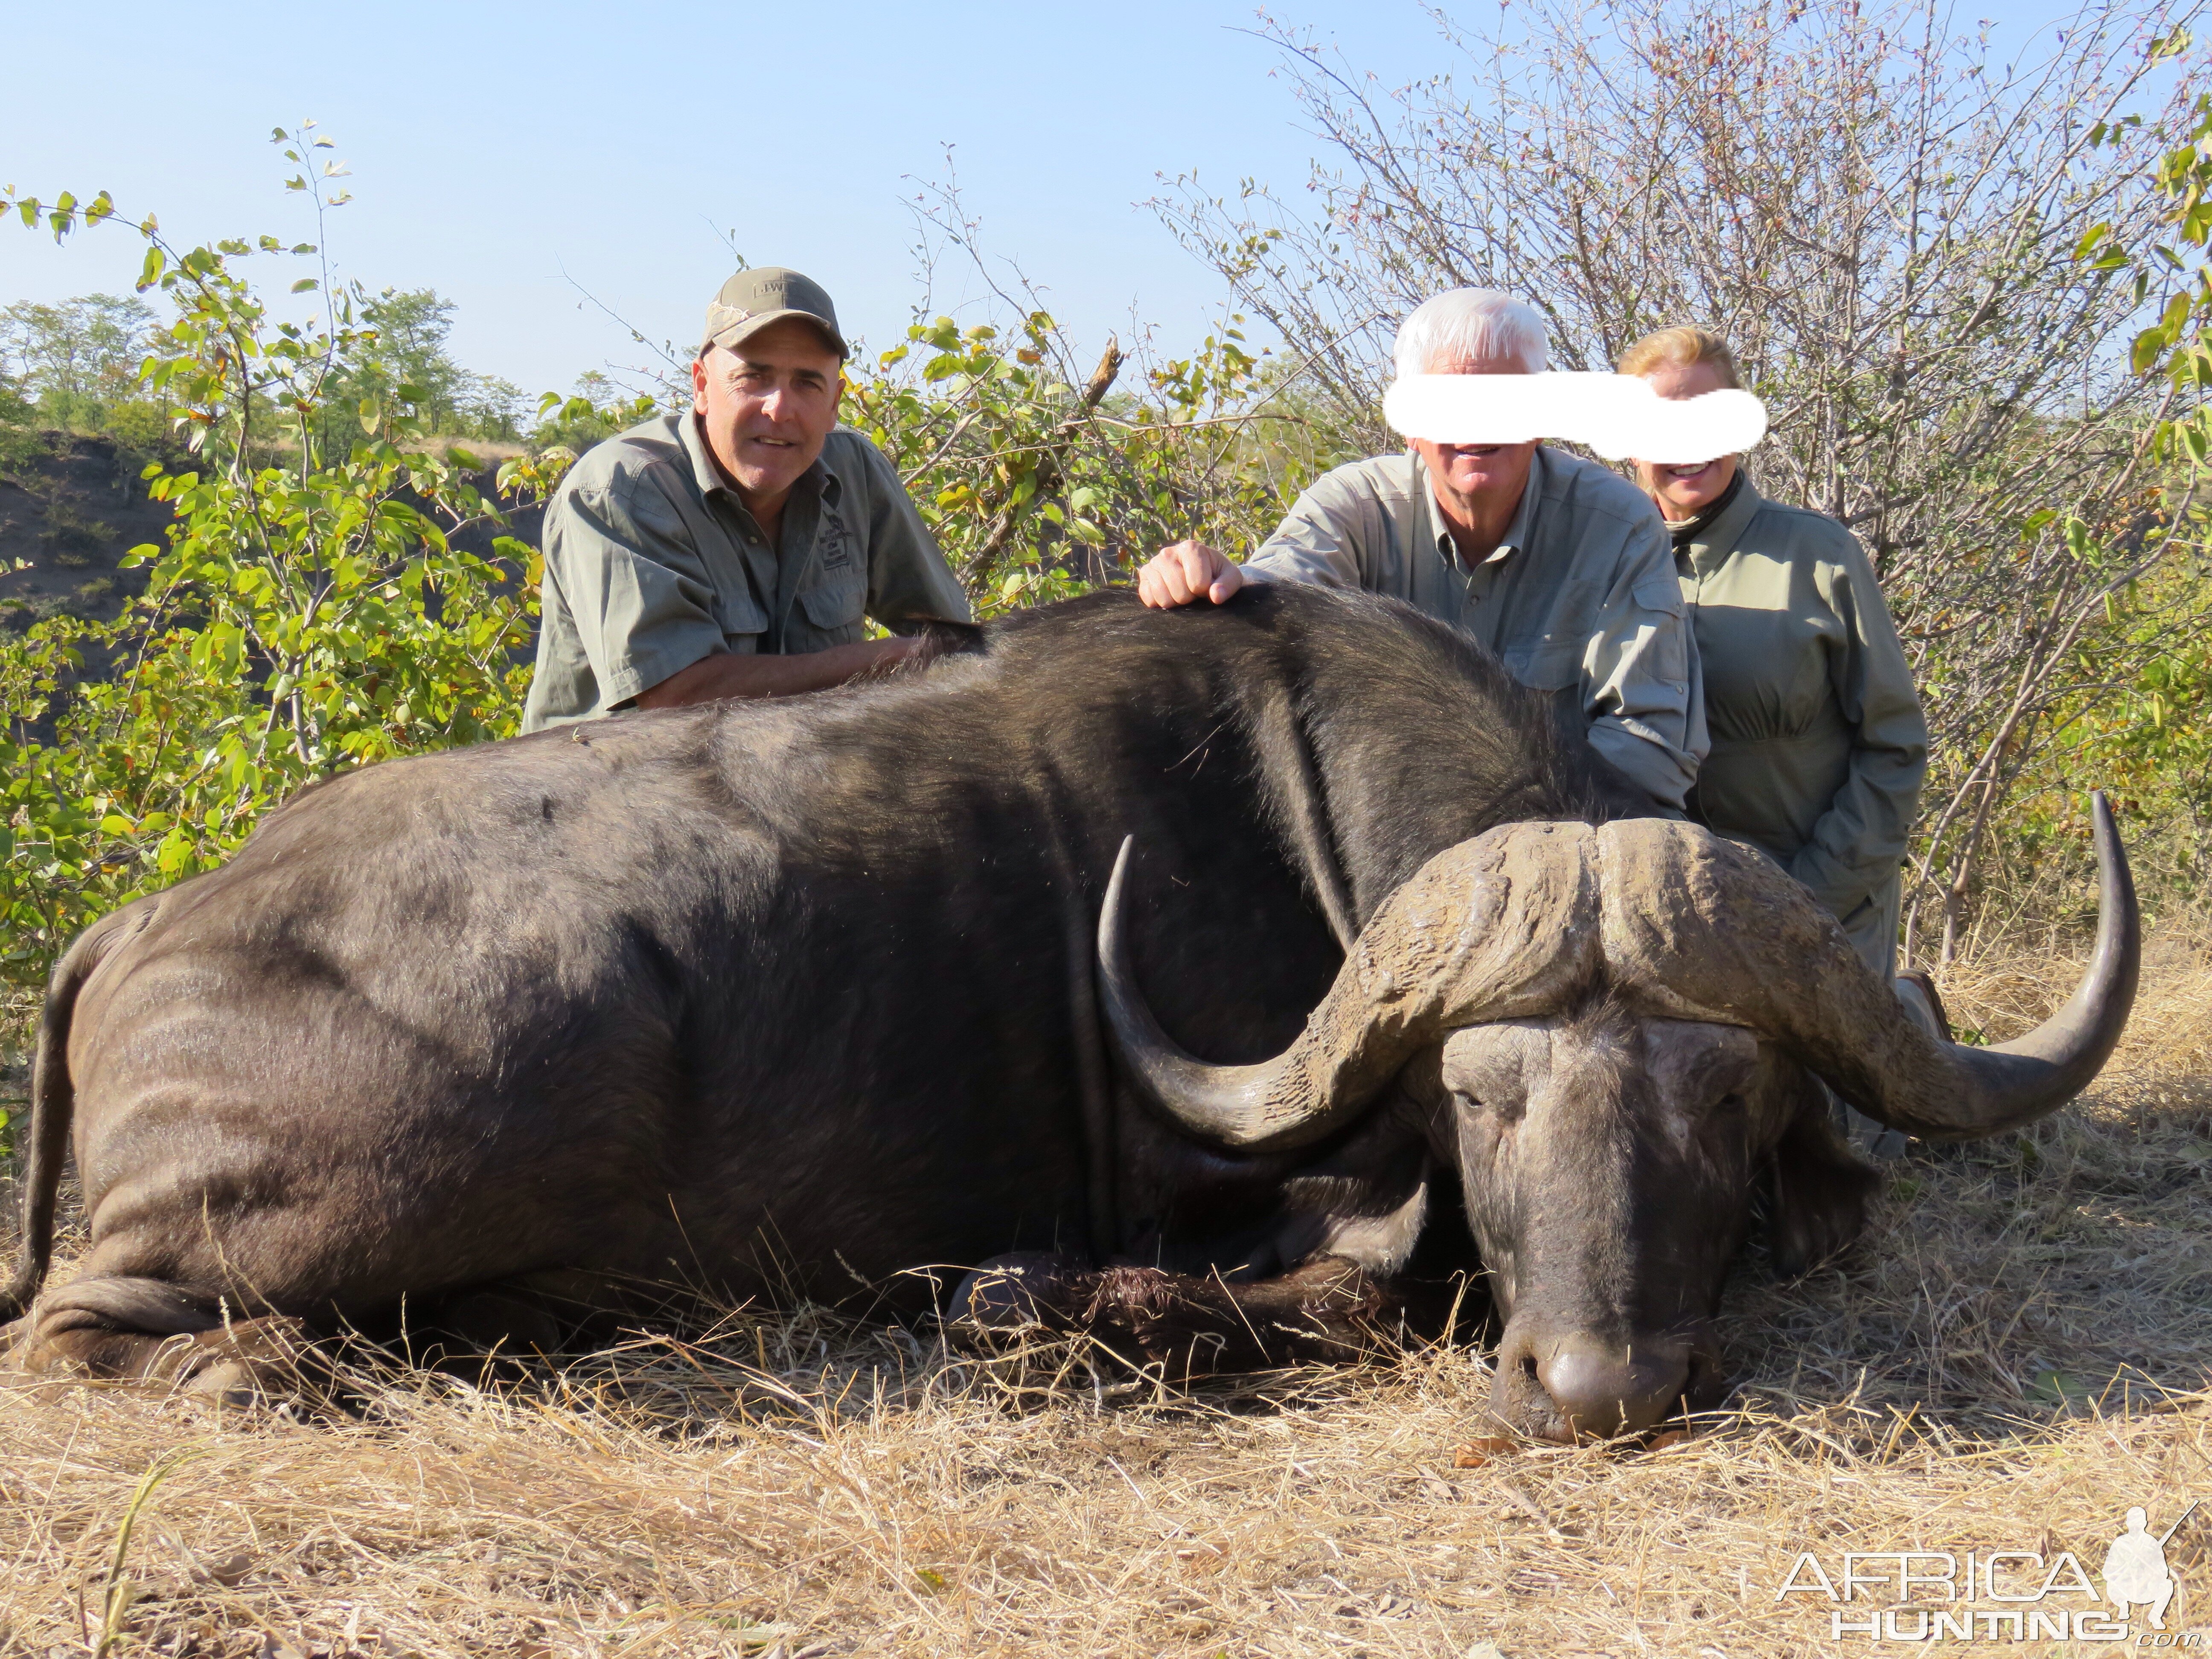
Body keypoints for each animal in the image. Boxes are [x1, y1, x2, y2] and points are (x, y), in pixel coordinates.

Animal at [4, 584, 2141, 1442]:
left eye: (1717, 1101)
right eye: (1483, 1101)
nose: (1598, 1388)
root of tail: (137, 921)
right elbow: (1316, 1293)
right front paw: (1021, 1308)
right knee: (89, 1329)